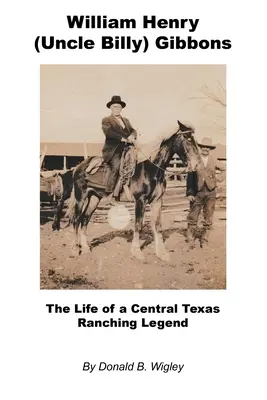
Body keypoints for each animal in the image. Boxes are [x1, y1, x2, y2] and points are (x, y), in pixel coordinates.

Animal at [67, 120, 201, 260]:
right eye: (187, 139)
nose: (197, 164)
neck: (151, 170)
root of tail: (78, 167)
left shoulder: (157, 201)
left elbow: (157, 226)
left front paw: (162, 253)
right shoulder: (140, 200)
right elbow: (138, 225)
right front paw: (137, 251)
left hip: (94, 197)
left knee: (85, 218)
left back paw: (85, 248)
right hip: (80, 197)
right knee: (76, 219)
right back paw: (74, 249)